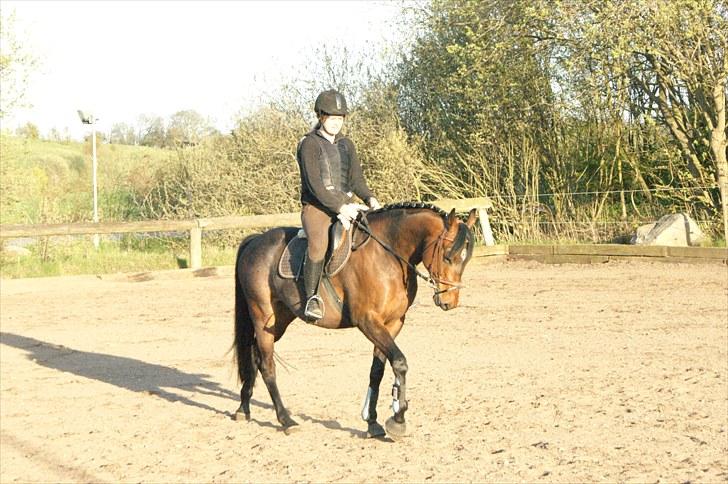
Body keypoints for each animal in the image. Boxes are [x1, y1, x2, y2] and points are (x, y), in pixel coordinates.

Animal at [233, 202, 480, 436]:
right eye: (448, 256)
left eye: (466, 259)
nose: (449, 301)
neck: (388, 254)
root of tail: (255, 241)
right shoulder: (368, 321)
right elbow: (400, 362)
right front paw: (398, 419)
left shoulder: (392, 323)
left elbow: (377, 370)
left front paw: (372, 421)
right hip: (262, 315)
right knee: (267, 365)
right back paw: (286, 420)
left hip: (280, 320)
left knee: (254, 354)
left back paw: (243, 408)